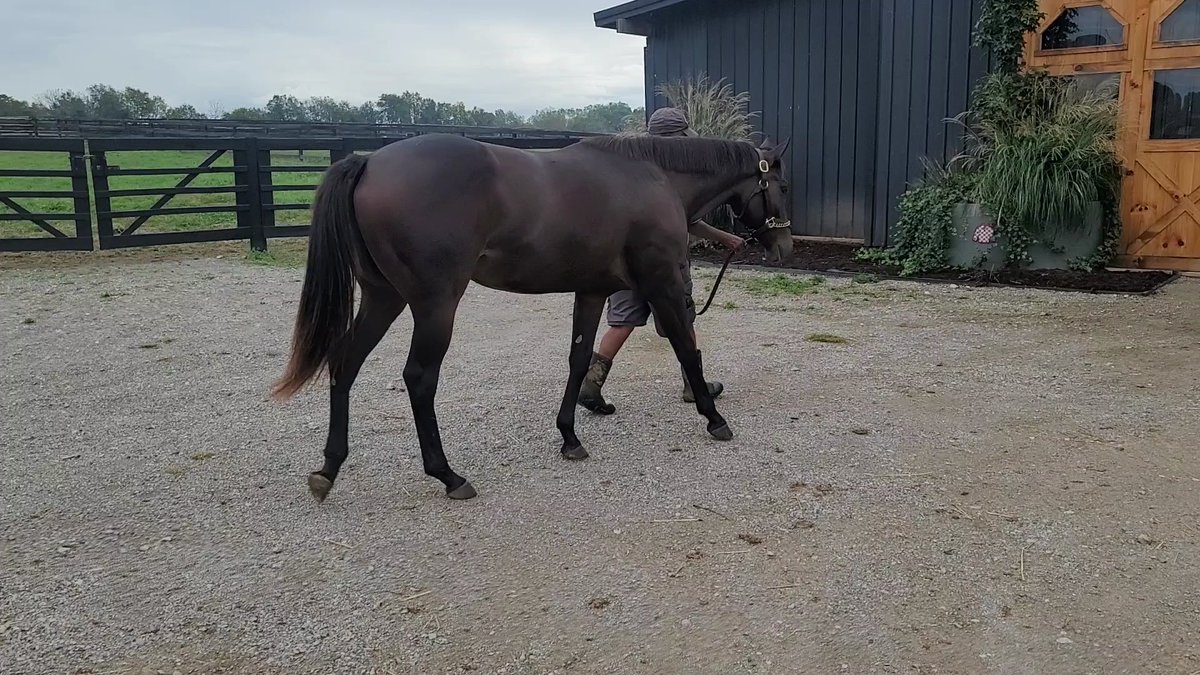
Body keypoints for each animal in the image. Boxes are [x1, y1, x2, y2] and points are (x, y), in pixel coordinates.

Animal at [271, 131, 794, 503]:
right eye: (782, 185)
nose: (785, 246)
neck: (652, 176)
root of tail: (369, 162)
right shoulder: (661, 283)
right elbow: (686, 347)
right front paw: (713, 416)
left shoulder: (591, 291)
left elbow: (580, 360)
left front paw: (570, 436)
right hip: (434, 304)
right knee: (419, 378)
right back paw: (448, 475)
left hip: (383, 298)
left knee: (345, 362)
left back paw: (329, 468)